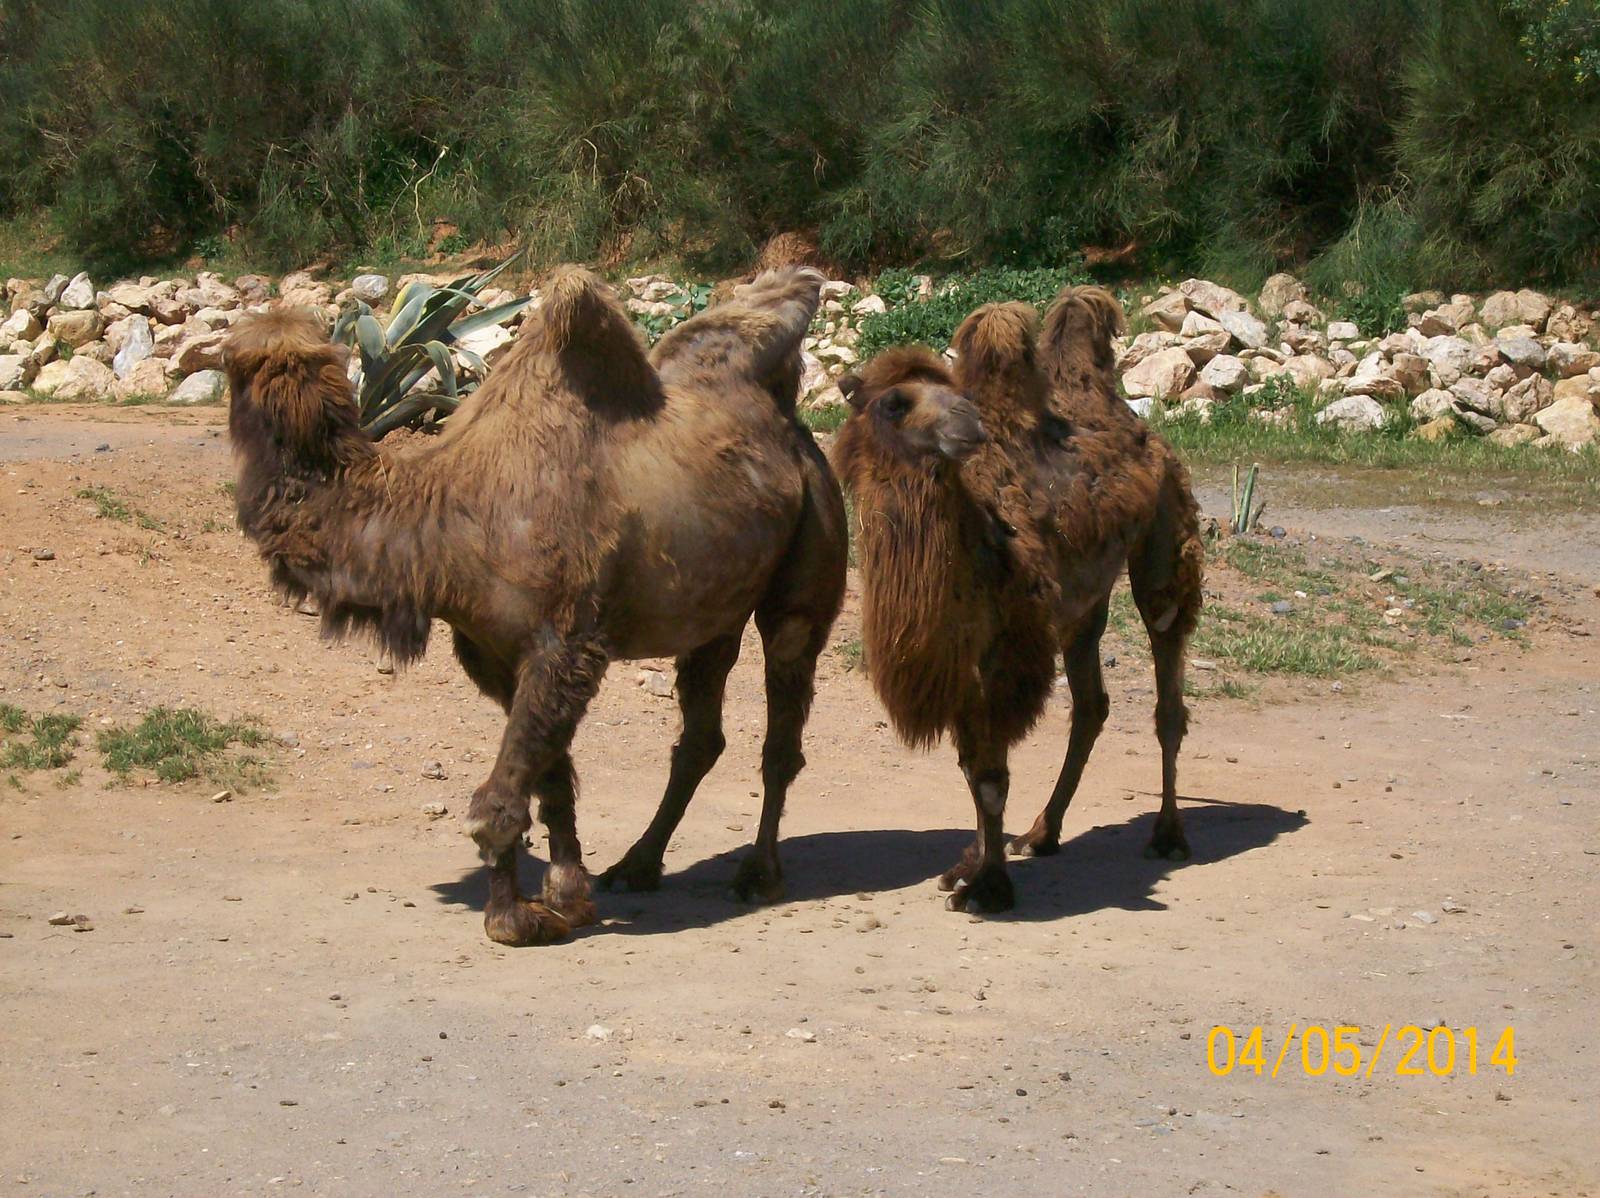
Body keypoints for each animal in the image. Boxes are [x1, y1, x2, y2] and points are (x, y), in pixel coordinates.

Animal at [223, 266, 847, 946]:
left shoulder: (566, 642)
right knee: (701, 732)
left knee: (783, 714)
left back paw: (758, 875)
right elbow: (550, 776)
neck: (449, 518)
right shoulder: (492, 652)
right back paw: (636, 866)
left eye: (232, 368)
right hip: (713, 604)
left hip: (810, 553)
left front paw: (511, 917)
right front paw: (568, 896)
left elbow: (502, 801)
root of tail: (792, 427)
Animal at [830, 286, 1203, 914]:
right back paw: (1041, 832)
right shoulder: (959, 651)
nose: (968, 422)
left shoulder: (1007, 649)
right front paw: (971, 868)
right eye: (894, 403)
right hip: (1083, 602)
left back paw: (1169, 835)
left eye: (953, 392)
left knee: (1167, 666)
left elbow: (990, 776)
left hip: (1165, 535)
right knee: (1091, 704)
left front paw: (989, 887)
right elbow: (970, 765)